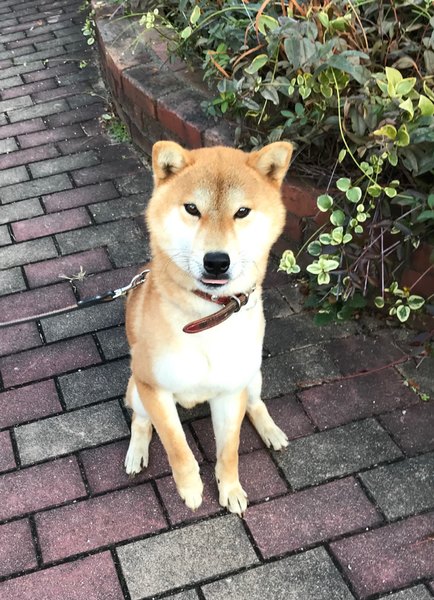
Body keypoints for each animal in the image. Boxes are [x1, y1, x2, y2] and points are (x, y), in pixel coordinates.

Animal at [124, 140, 292, 515]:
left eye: (242, 212)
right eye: (191, 209)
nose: (216, 261)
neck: (207, 317)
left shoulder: (231, 392)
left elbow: (229, 451)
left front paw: (230, 488)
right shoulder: (153, 388)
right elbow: (176, 445)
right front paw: (190, 488)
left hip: (252, 375)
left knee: (256, 404)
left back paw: (272, 431)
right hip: (135, 389)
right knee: (140, 422)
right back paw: (136, 451)